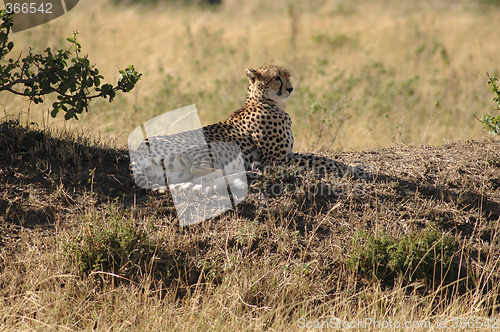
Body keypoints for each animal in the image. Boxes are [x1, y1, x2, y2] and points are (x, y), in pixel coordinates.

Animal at [127, 65, 358, 192]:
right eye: (277, 78)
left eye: (288, 76)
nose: (291, 88)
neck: (265, 101)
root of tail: (138, 148)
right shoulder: (276, 159)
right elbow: (318, 159)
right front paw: (351, 168)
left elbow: (316, 158)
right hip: (218, 146)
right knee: (200, 169)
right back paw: (247, 173)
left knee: (198, 175)